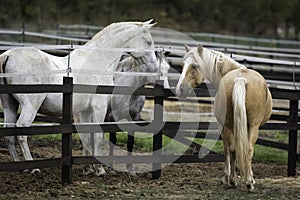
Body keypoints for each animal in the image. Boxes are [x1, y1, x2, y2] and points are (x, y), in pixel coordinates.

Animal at [0, 19, 158, 175]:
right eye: (149, 42)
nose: (155, 67)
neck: (98, 61)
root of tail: (8, 56)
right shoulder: (99, 108)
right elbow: (98, 136)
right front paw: (99, 170)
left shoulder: (85, 111)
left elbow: (86, 137)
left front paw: (88, 168)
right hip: (30, 107)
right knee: (21, 133)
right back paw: (32, 167)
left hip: (10, 106)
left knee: (9, 135)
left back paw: (20, 166)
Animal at [176, 44, 272, 191]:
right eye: (182, 65)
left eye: (194, 66)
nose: (179, 90)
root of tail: (240, 79)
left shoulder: (222, 126)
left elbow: (226, 149)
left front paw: (226, 177)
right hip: (251, 127)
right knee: (246, 149)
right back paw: (247, 182)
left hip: (234, 126)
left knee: (235, 149)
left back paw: (235, 181)